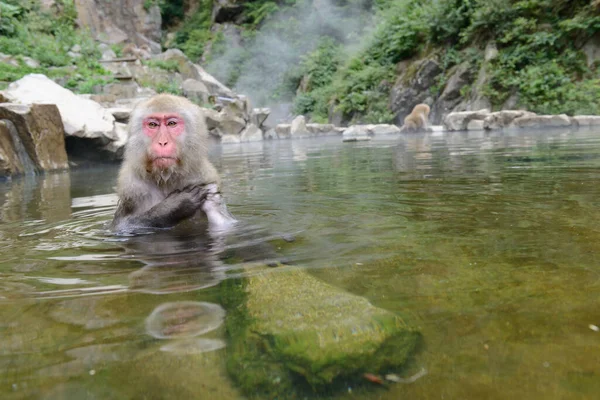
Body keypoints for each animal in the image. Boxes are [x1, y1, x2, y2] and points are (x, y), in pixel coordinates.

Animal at [111, 93, 236, 233]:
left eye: (171, 123)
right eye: (153, 125)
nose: (162, 142)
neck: (166, 178)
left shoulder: (205, 178)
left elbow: (226, 223)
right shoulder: (132, 189)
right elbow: (121, 227)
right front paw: (175, 206)